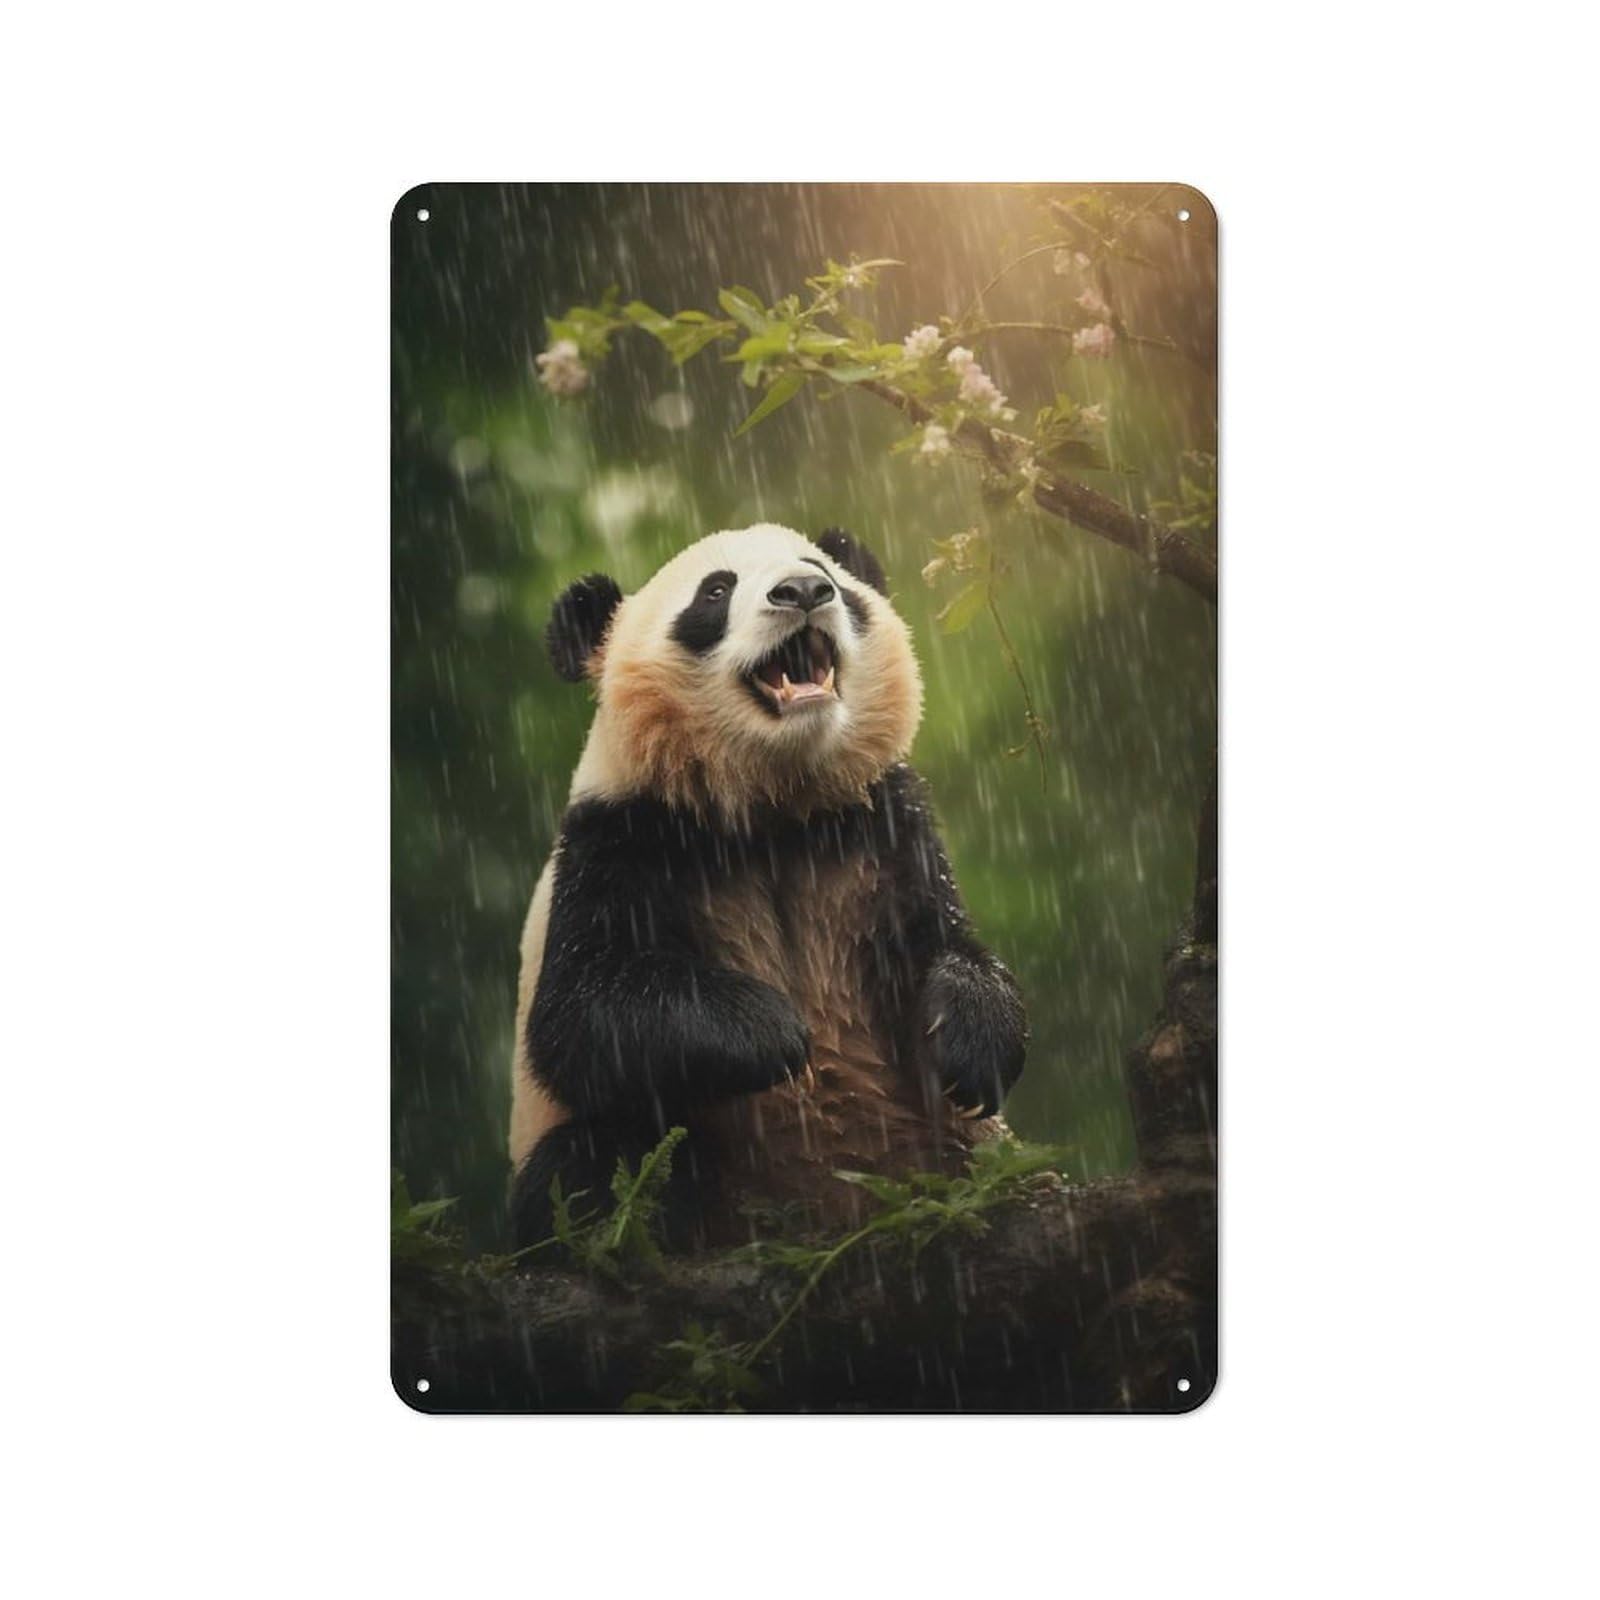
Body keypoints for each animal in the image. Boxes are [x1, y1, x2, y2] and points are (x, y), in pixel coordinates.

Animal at [508, 523, 1027, 1249]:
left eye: (819, 568)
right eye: (715, 591)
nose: (805, 591)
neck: (775, 804)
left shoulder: (886, 822)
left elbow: (947, 940)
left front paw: (971, 1041)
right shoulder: (618, 837)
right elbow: (578, 1014)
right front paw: (777, 1035)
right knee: (592, 1162)